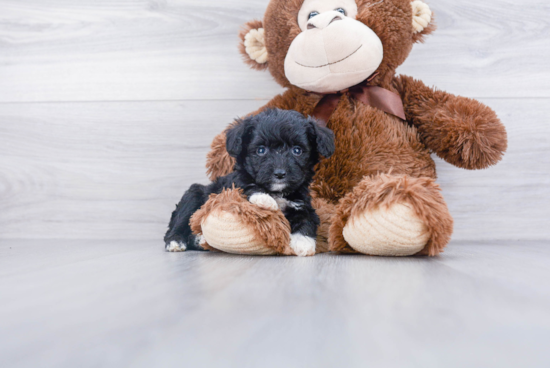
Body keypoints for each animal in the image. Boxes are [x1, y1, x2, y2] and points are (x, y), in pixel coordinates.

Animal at [164, 108, 336, 254]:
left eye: (297, 150)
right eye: (261, 150)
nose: (280, 173)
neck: (278, 192)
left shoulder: (302, 203)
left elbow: (306, 219)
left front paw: (303, 243)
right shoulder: (234, 185)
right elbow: (248, 186)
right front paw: (264, 199)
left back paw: (200, 240)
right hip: (193, 195)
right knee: (179, 222)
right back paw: (176, 241)